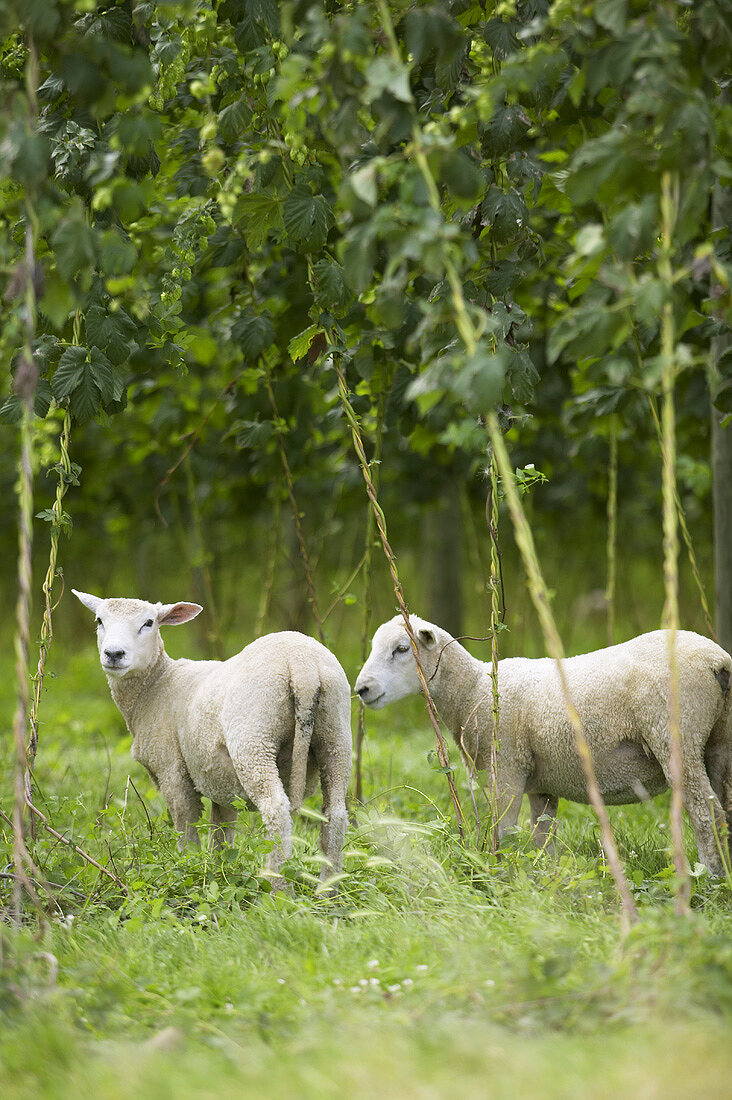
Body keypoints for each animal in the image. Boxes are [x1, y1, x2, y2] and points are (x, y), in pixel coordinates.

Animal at [72, 589, 352, 888]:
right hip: (336, 733)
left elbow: (186, 827)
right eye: (99, 620)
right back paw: (327, 888)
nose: (114, 654)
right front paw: (218, 871)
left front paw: (190, 870)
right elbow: (222, 831)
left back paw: (276, 886)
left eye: (148, 623)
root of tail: (302, 665)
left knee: (277, 810)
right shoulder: (220, 779)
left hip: (254, 738)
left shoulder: (171, 770)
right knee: (335, 813)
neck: (155, 686)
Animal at [354, 616, 730, 871]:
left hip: (674, 734)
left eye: (402, 649)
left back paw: (710, 877)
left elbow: (504, 830)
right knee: (724, 806)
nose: (362, 689)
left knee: (706, 811)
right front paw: (543, 880)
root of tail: (717, 661)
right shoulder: (541, 785)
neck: (473, 691)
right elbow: (542, 837)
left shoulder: (507, 767)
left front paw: (500, 873)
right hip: (718, 742)